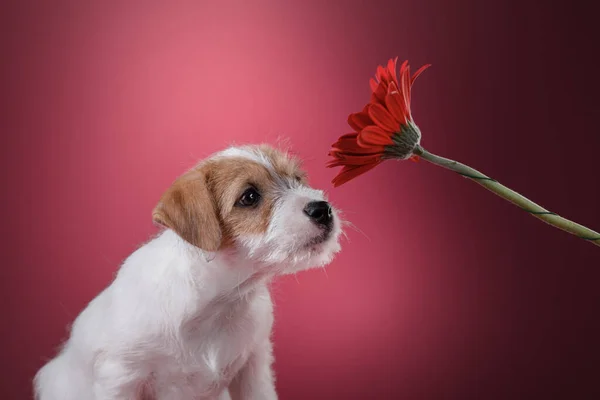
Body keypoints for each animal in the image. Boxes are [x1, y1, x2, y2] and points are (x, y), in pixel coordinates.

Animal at [34, 145, 342, 400]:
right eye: (250, 196)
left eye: (298, 178)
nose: (322, 209)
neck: (217, 303)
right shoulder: (120, 377)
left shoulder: (253, 368)